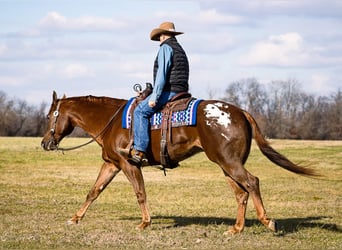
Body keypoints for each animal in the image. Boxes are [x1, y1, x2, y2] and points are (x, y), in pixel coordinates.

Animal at [41, 91, 316, 234]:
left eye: (48, 116)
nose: (45, 143)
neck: (111, 121)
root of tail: (240, 112)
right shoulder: (112, 164)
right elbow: (94, 191)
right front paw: (75, 218)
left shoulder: (130, 164)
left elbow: (140, 193)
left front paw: (145, 222)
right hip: (226, 165)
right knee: (241, 192)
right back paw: (236, 228)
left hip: (229, 163)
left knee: (252, 182)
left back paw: (268, 221)